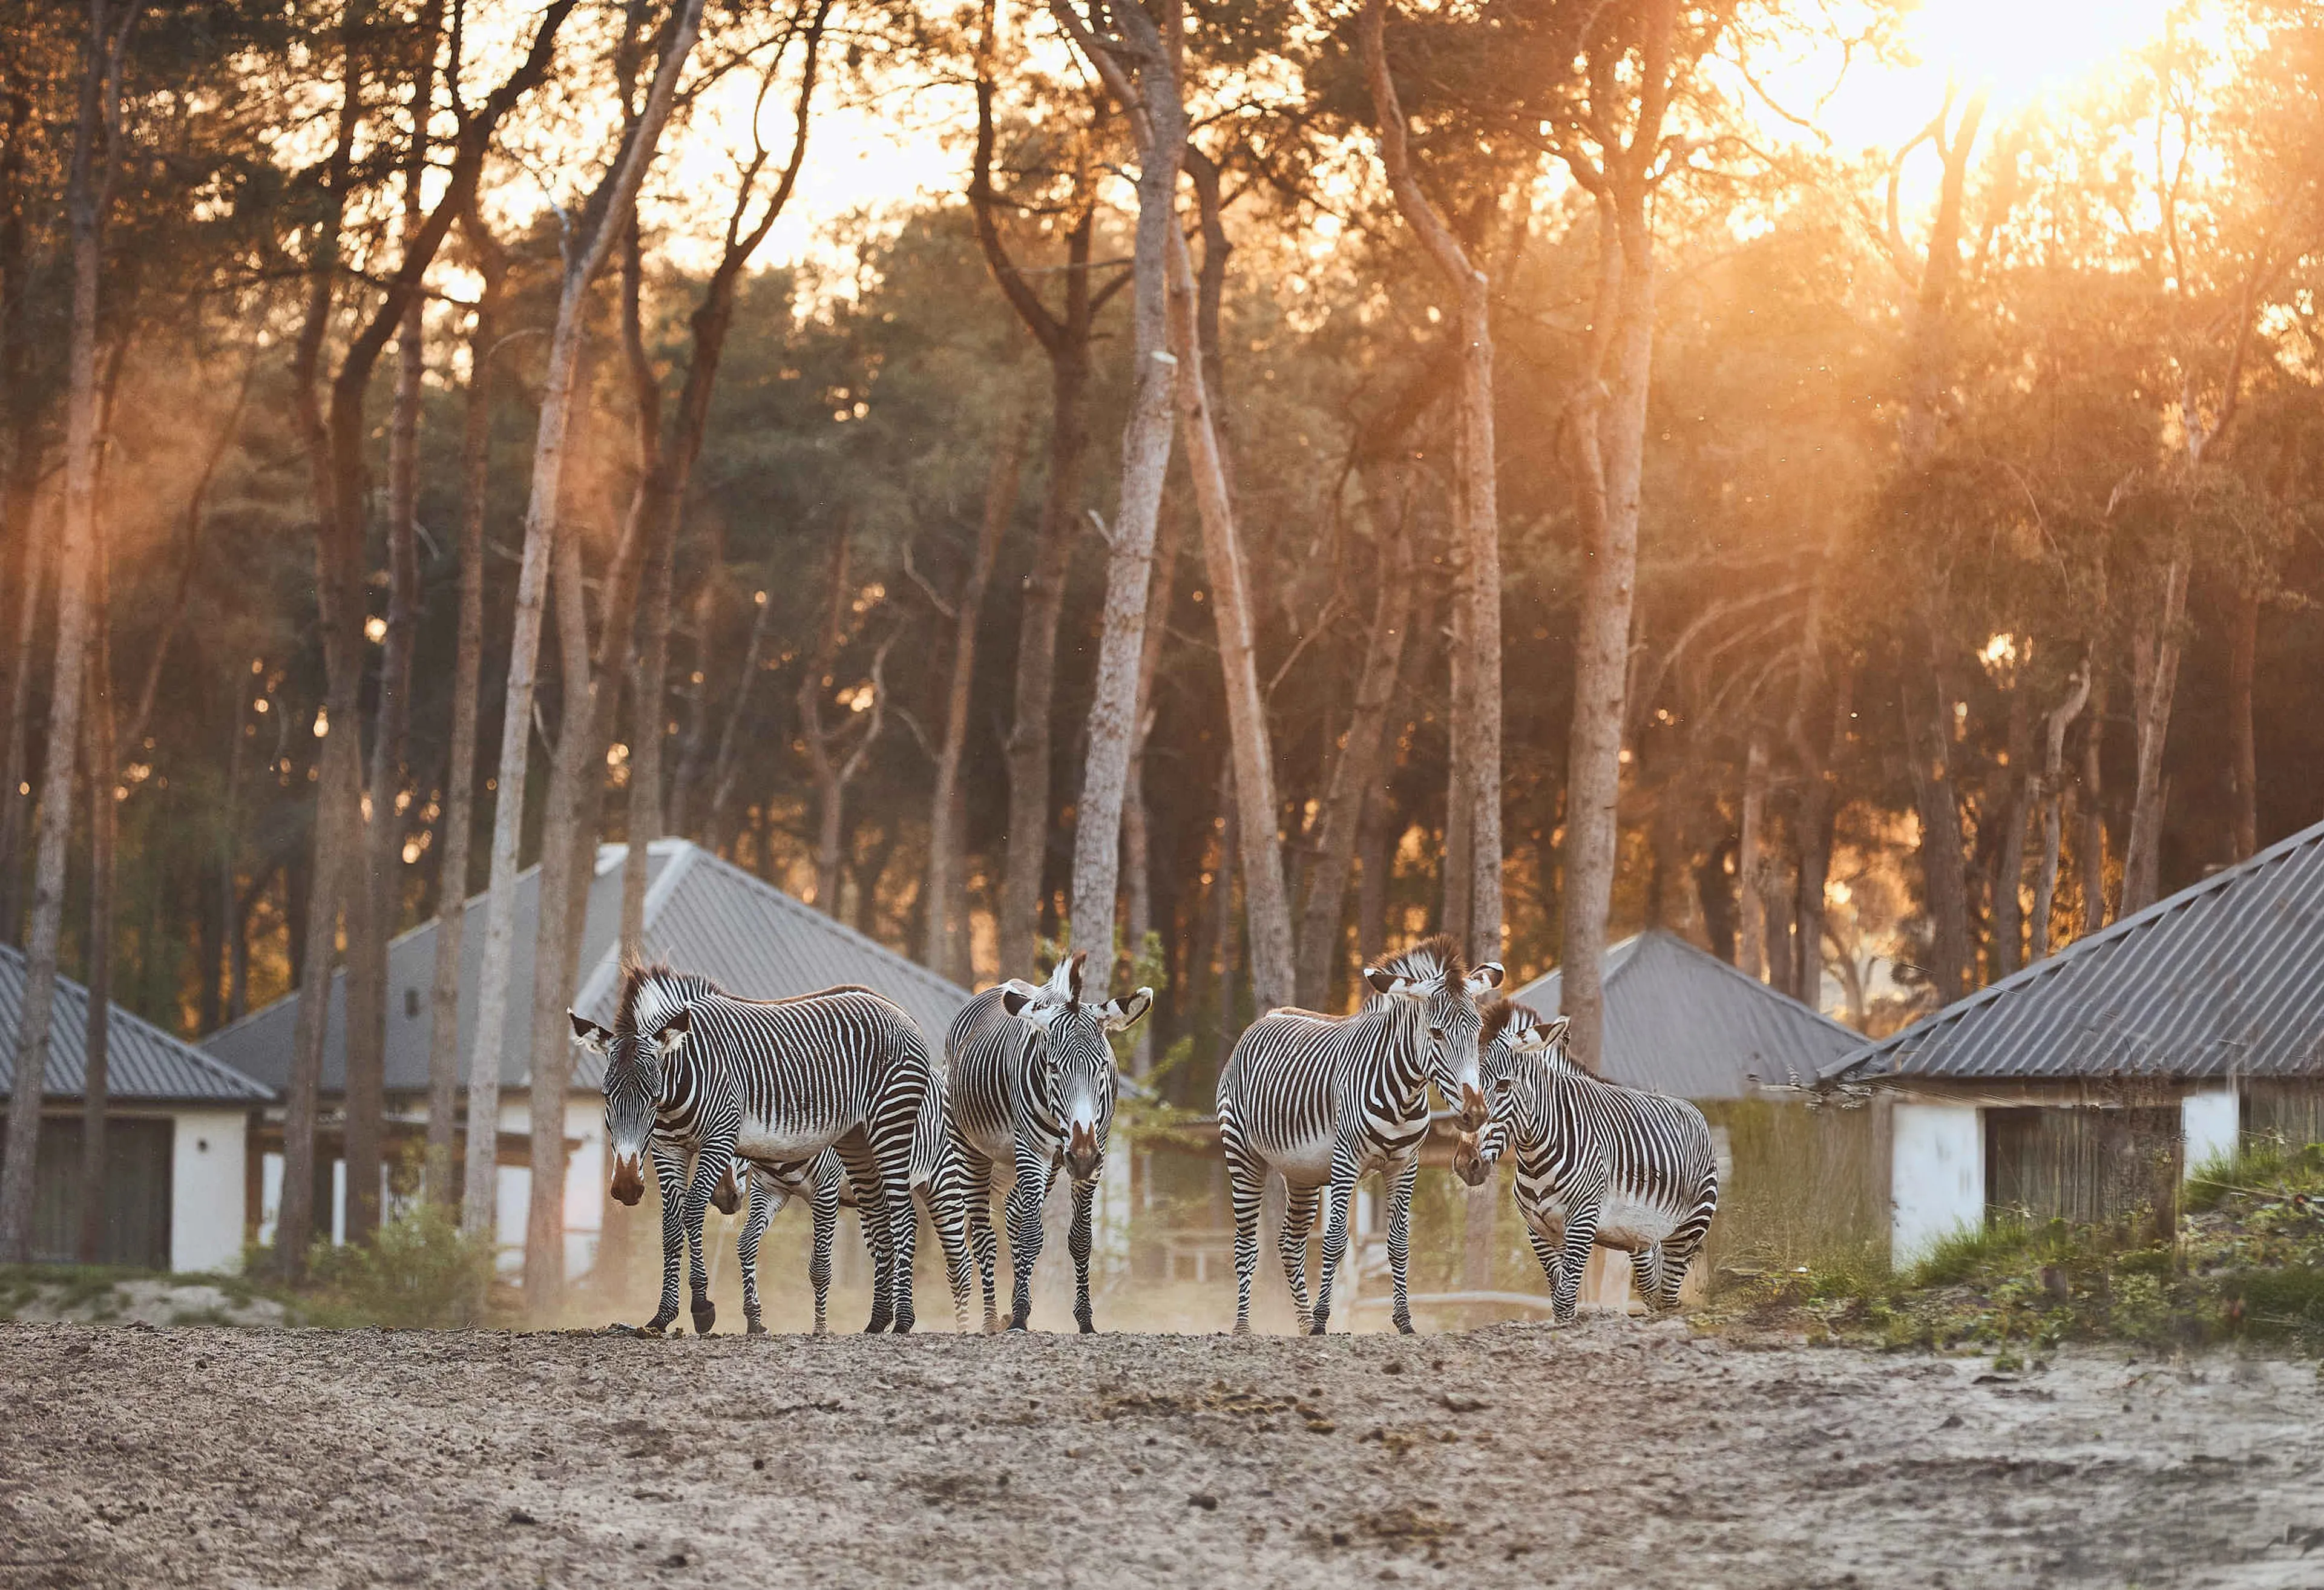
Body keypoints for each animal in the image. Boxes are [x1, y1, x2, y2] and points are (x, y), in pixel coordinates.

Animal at [572, 960, 972, 1336]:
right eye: (606, 1097)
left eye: (652, 1097)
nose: (626, 1188)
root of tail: (899, 1012)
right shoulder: (670, 1148)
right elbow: (675, 1225)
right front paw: (663, 1316)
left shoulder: (725, 1136)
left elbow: (694, 1211)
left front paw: (703, 1308)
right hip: (858, 1143)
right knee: (882, 1220)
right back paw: (878, 1321)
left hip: (907, 1144)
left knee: (926, 1233)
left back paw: (916, 1322)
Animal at [940, 950, 1153, 1333]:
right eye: (1053, 1068)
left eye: (1103, 1067)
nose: (1081, 1157)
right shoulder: (1033, 1152)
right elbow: (1032, 1234)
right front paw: (1019, 1317)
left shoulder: (1095, 1155)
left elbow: (1080, 1239)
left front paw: (1085, 1320)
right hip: (970, 1149)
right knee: (984, 1234)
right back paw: (992, 1319)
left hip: (1046, 1165)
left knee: (1013, 1214)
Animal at [1215, 934, 1503, 1335]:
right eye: (1436, 1033)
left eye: (1477, 1033)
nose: (1475, 1113)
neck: (1404, 1093)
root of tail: (1268, 1017)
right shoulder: (1345, 1163)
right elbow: (1336, 1241)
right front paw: (1323, 1321)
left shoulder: (1404, 1166)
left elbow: (1398, 1244)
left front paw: (1404, 1322)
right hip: (1243, 1155)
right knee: (1246, 1242)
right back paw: (1245, 1327)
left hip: (1301, 1173)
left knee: (1290, 1243)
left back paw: (1303, 1325)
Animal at [1455, 999, 1719, 1321]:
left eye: (1504, 1086)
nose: (1467, 1164)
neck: (1535, 1156)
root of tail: (1690, 1108)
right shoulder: (1538, 1230)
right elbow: (1559, 1298)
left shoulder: (1582, 1222)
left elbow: (1566, 1299)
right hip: (1643, 1239)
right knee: (1654, 1293)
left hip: (1688, 1229)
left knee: (1669, 1297)